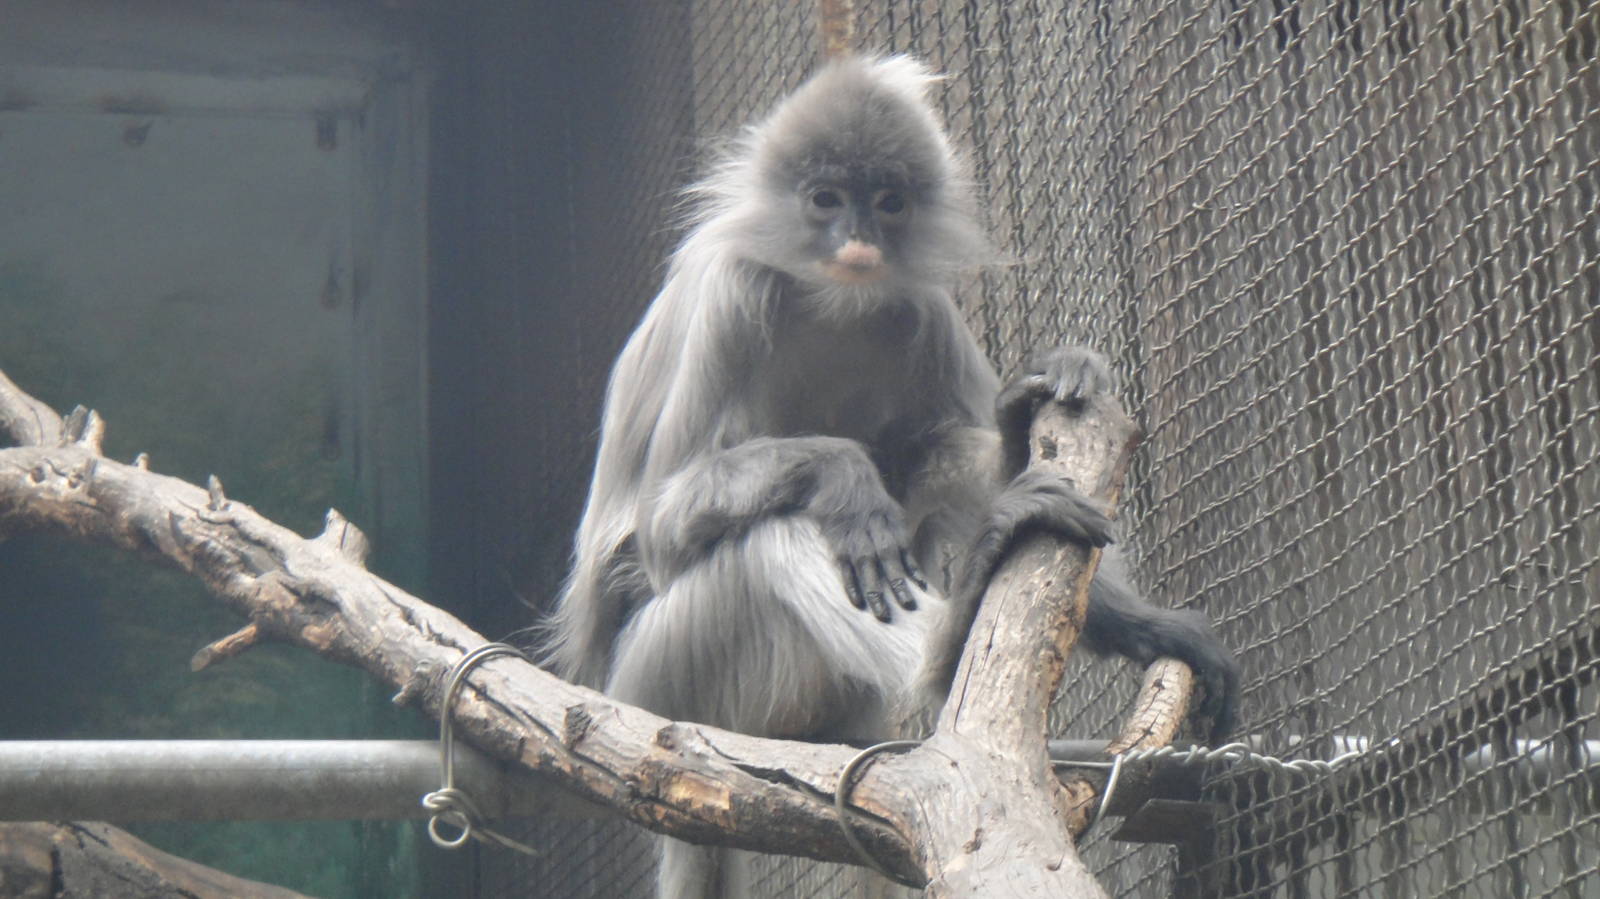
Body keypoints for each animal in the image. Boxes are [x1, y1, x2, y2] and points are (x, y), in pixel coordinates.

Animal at [543, 55, 1240, 899]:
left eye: (888, 201)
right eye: (826, 198)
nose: (858, 238)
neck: (833, 301)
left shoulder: (921, 309)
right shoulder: (734, 295)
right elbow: (661, 531)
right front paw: (844, 476)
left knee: (940, 459)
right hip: (662, 680)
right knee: (771, 539)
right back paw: (949, 640)